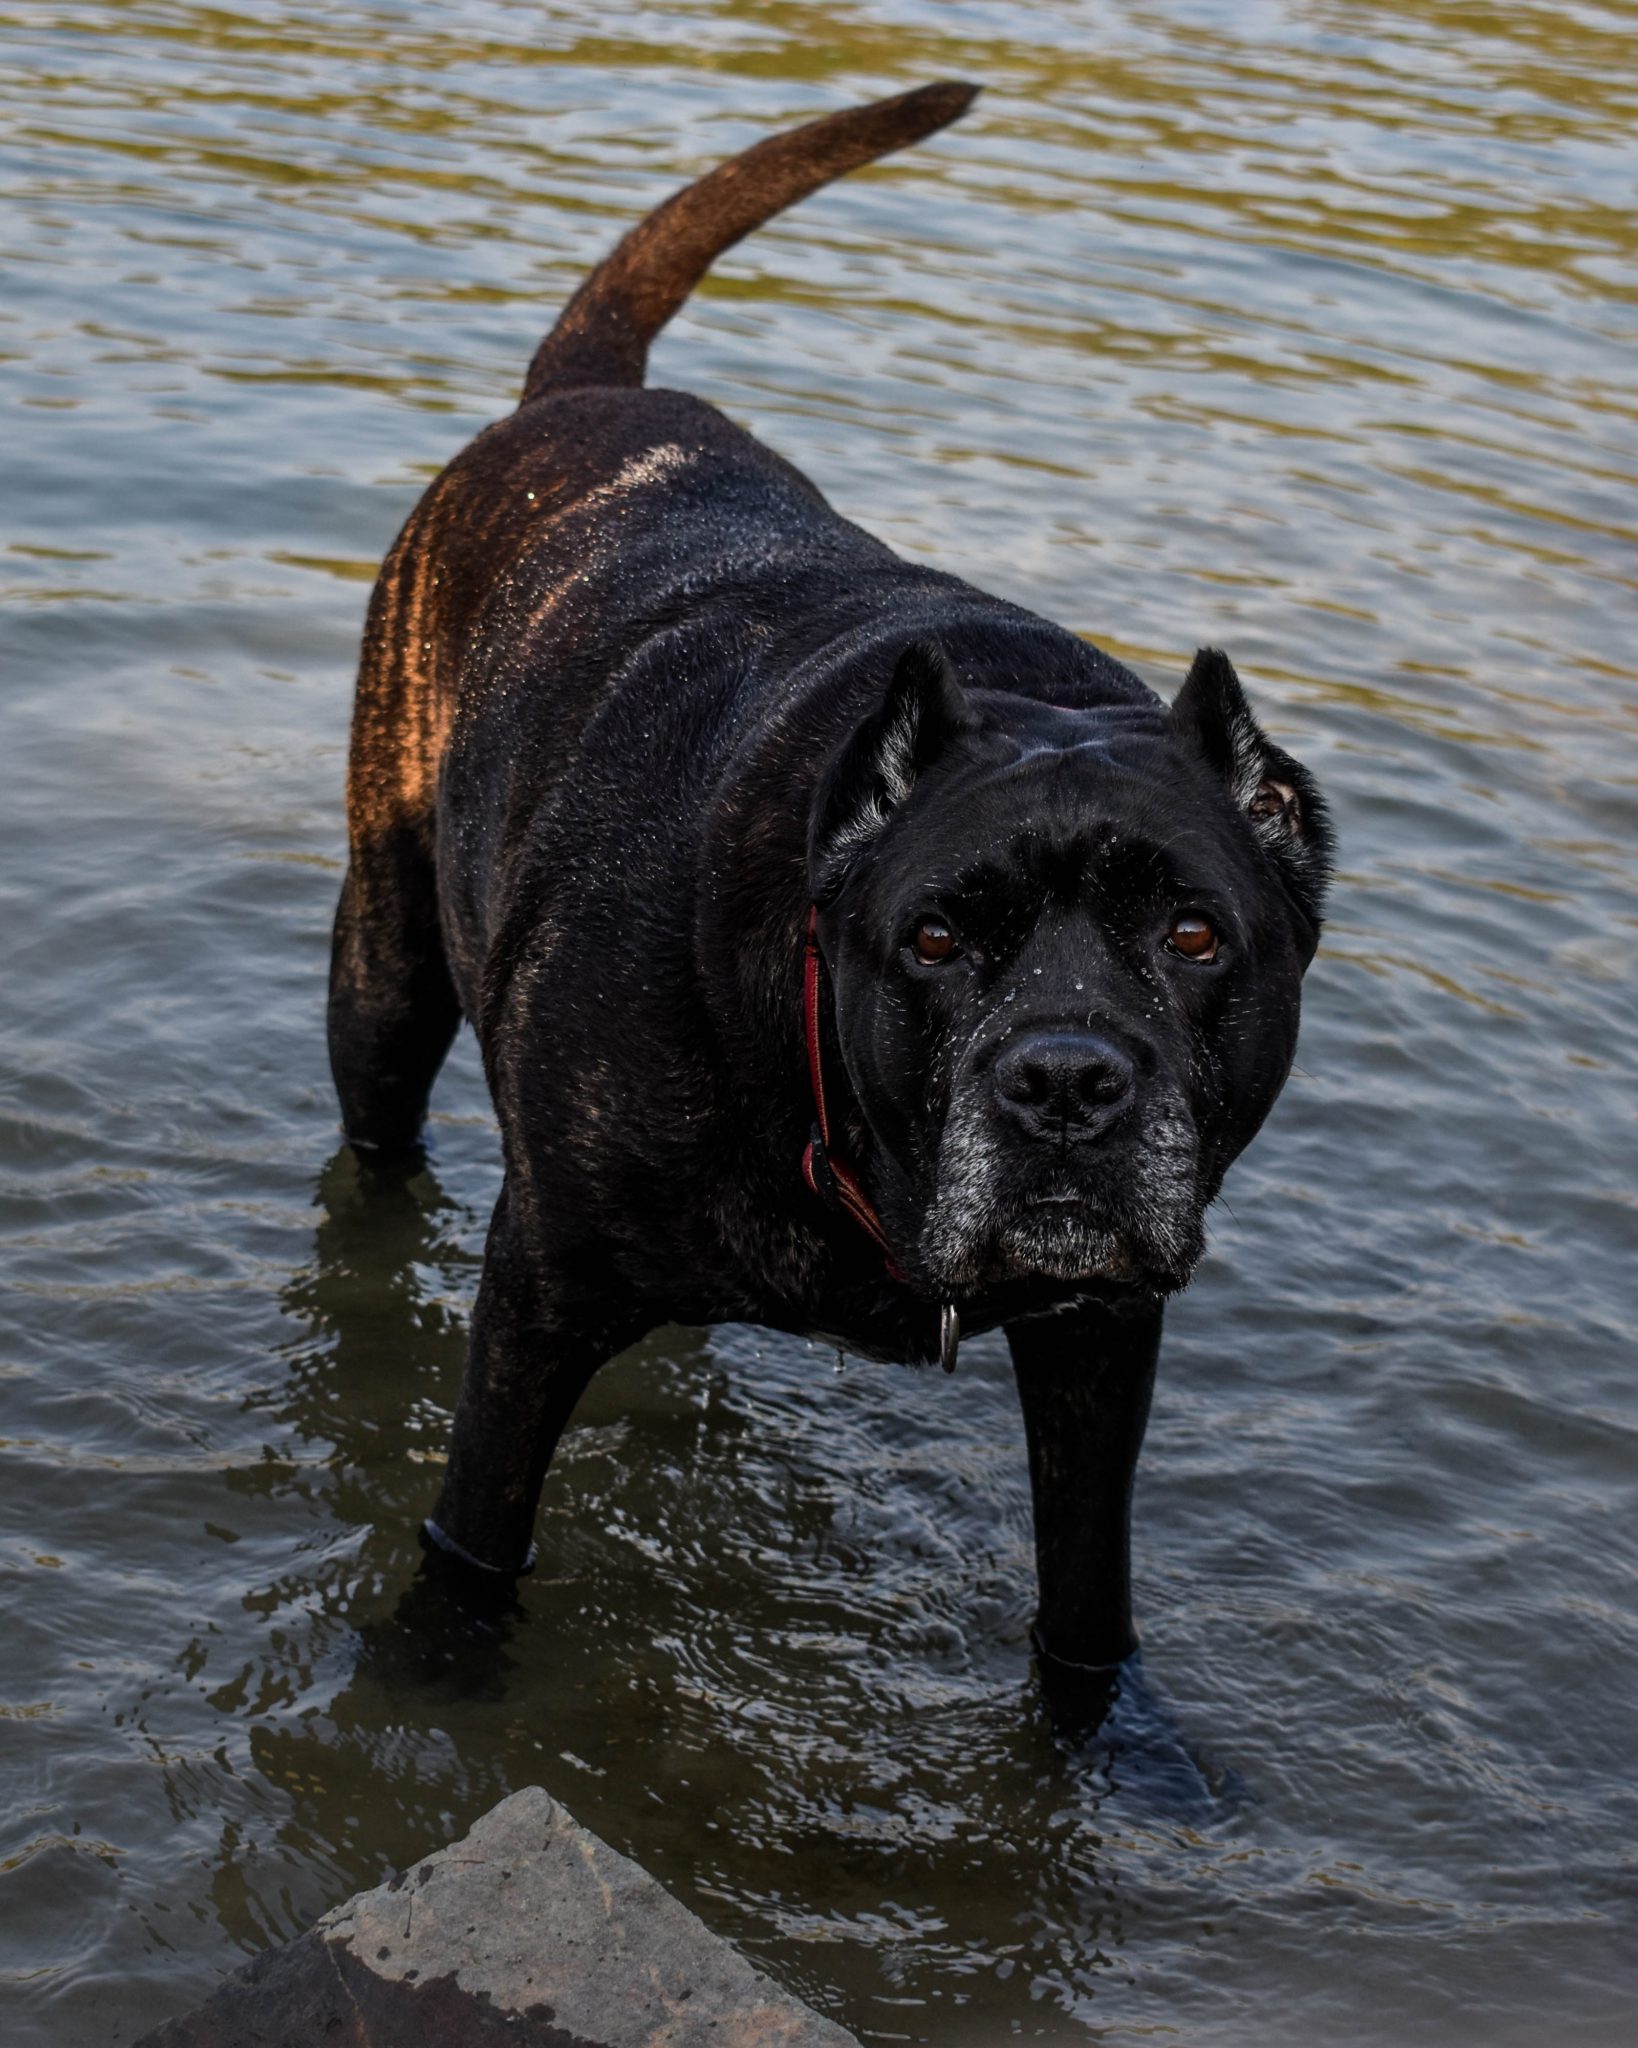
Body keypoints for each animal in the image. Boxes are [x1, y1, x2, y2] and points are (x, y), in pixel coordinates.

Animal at [329, 83, 1326, 1679]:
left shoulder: (1100, 1342)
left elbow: (1085, 1609)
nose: (1064, 1082)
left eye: (1191, 935)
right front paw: (436, 1674)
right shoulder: (539, 1296)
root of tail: (577, 399)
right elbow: (474, 1540)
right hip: (384, 974)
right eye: (930, 940)